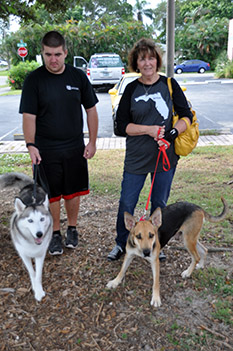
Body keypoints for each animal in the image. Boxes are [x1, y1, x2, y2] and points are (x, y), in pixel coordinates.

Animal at [0, 173, 52, 302]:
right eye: (30, 220)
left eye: (42, 219)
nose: (39, 234)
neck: (32, 243)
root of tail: (30, 185)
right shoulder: (24, 255)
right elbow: (32, 273)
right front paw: (35, 288)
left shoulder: (40, 255)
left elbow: (38, 274)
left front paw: (39, 290)